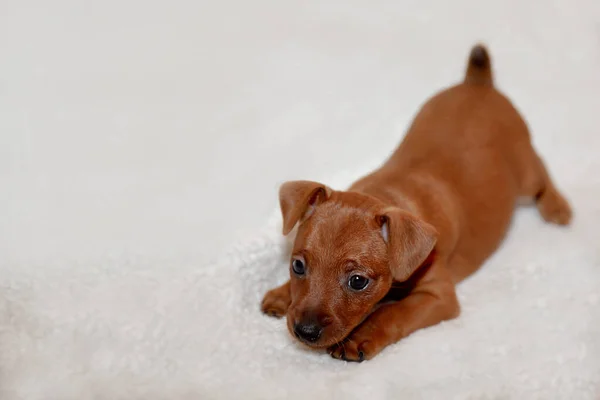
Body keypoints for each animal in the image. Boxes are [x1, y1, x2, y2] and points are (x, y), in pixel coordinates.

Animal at [262, 44, 572, 362]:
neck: (385, 195)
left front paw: (360, 336)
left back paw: (557, 207)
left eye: (358, 281)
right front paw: (282, 293)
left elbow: (393, 313)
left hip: (524, 170)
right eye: (297, 266)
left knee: (540, 170)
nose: (305, 331)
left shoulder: (438, 296)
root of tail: (478, 83)